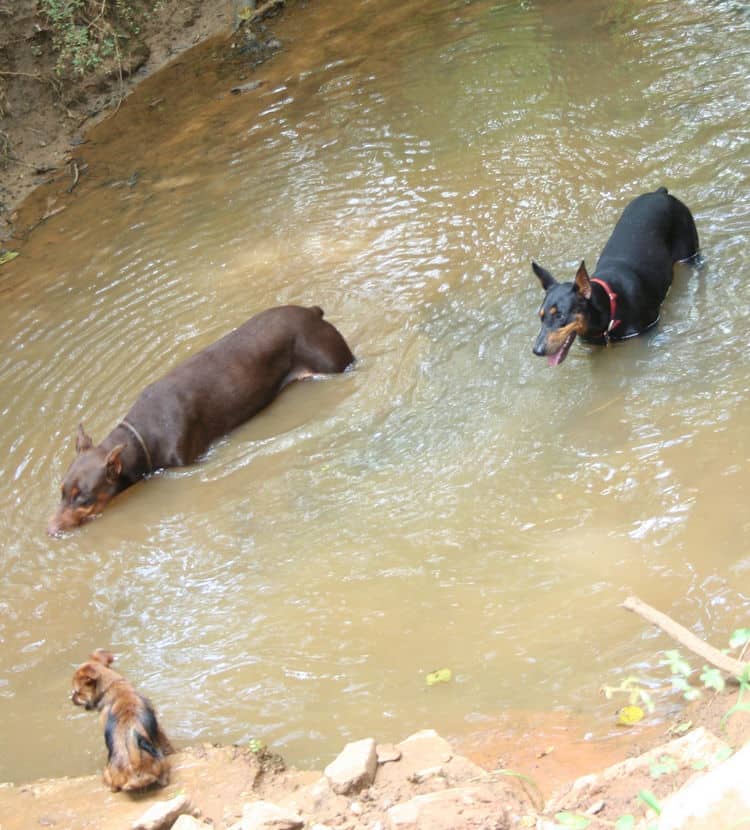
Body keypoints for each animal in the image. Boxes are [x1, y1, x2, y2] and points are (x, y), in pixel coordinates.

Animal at [71, 648, 174, 792]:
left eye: (77, 693)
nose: (71, 698)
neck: (112, 686)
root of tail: (134, 767)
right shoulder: (158, 728)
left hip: (107, 772)